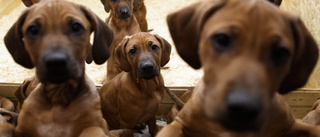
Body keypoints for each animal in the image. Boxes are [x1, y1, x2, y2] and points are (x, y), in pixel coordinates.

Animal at [0, 0, 114, 136]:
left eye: (76, 27)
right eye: (32, 29)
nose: (56, 62)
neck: (58, 95)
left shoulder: (96, 125)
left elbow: (92, 130)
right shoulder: (22, 130)